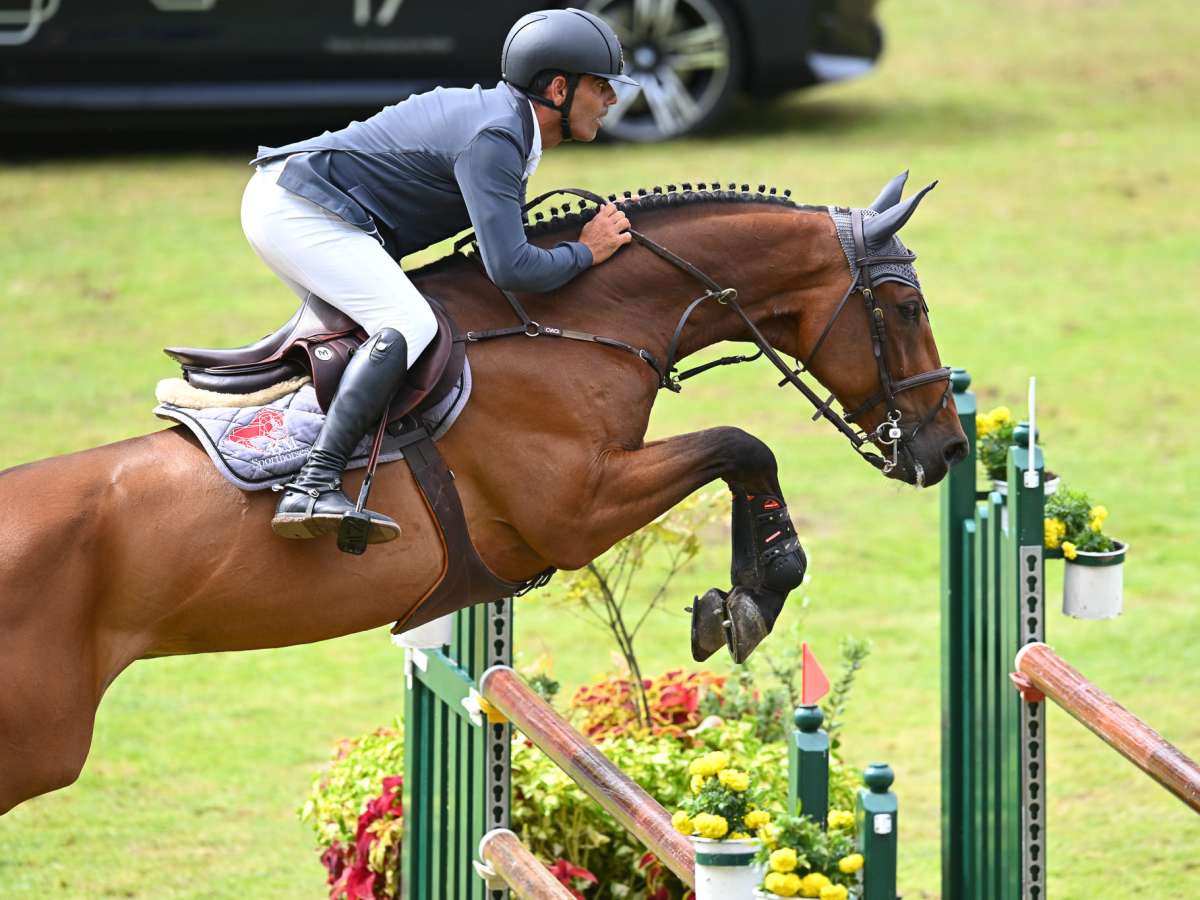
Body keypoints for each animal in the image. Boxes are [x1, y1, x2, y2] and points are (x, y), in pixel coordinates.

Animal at [0, 172, 964, 816]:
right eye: (906, 306)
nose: (948, 448)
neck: (580, 323)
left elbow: (737, 452)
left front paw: (738, 596)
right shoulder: (576, 510)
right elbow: (741, 445)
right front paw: (755, 594)